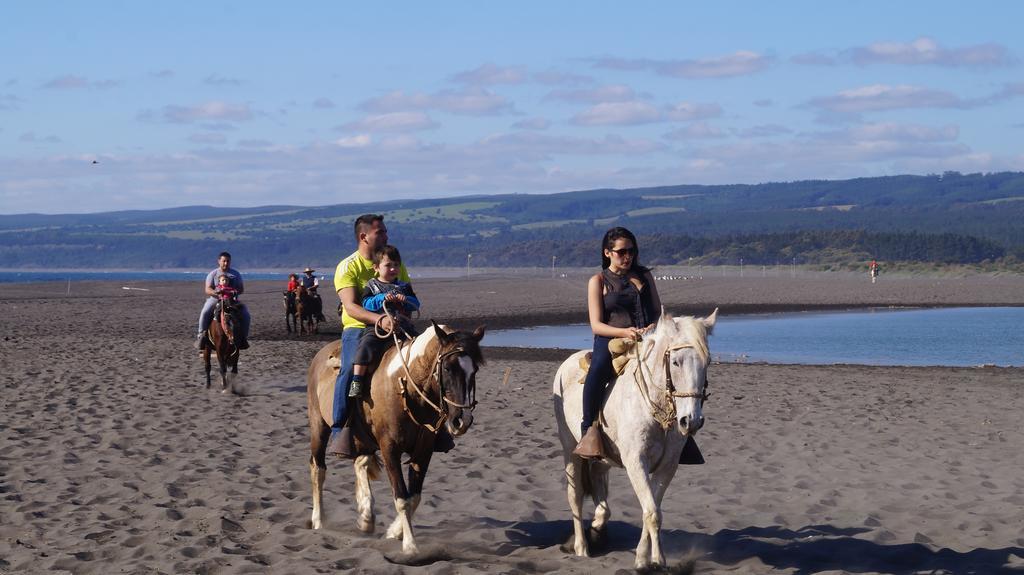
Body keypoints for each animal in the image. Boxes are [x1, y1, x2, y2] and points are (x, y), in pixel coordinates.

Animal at [305, 319, 485, 552]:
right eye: (447, 367)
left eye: (475, 370)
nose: (462, 420)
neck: (405, 388)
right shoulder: (389, 449)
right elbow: (401, 498)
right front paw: (410, 545)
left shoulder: (423, 451)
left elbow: (414, 497)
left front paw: (394, 532)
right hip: (319, 426)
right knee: (318, 468)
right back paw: (318, 520)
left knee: (360, 462)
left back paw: (366, 517)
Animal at [552, 306, 720, 564]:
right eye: (675, 362)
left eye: (707, 362)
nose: (691, 421)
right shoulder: (635, 462)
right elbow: (652, 513)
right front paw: (655, 561)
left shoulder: (668, 466)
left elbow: (652, 509)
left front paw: (644, 556)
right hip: (569, 446)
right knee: (575, 494)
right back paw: (581, 546)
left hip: (602, 457)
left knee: (600, 485)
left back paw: (598, 524)